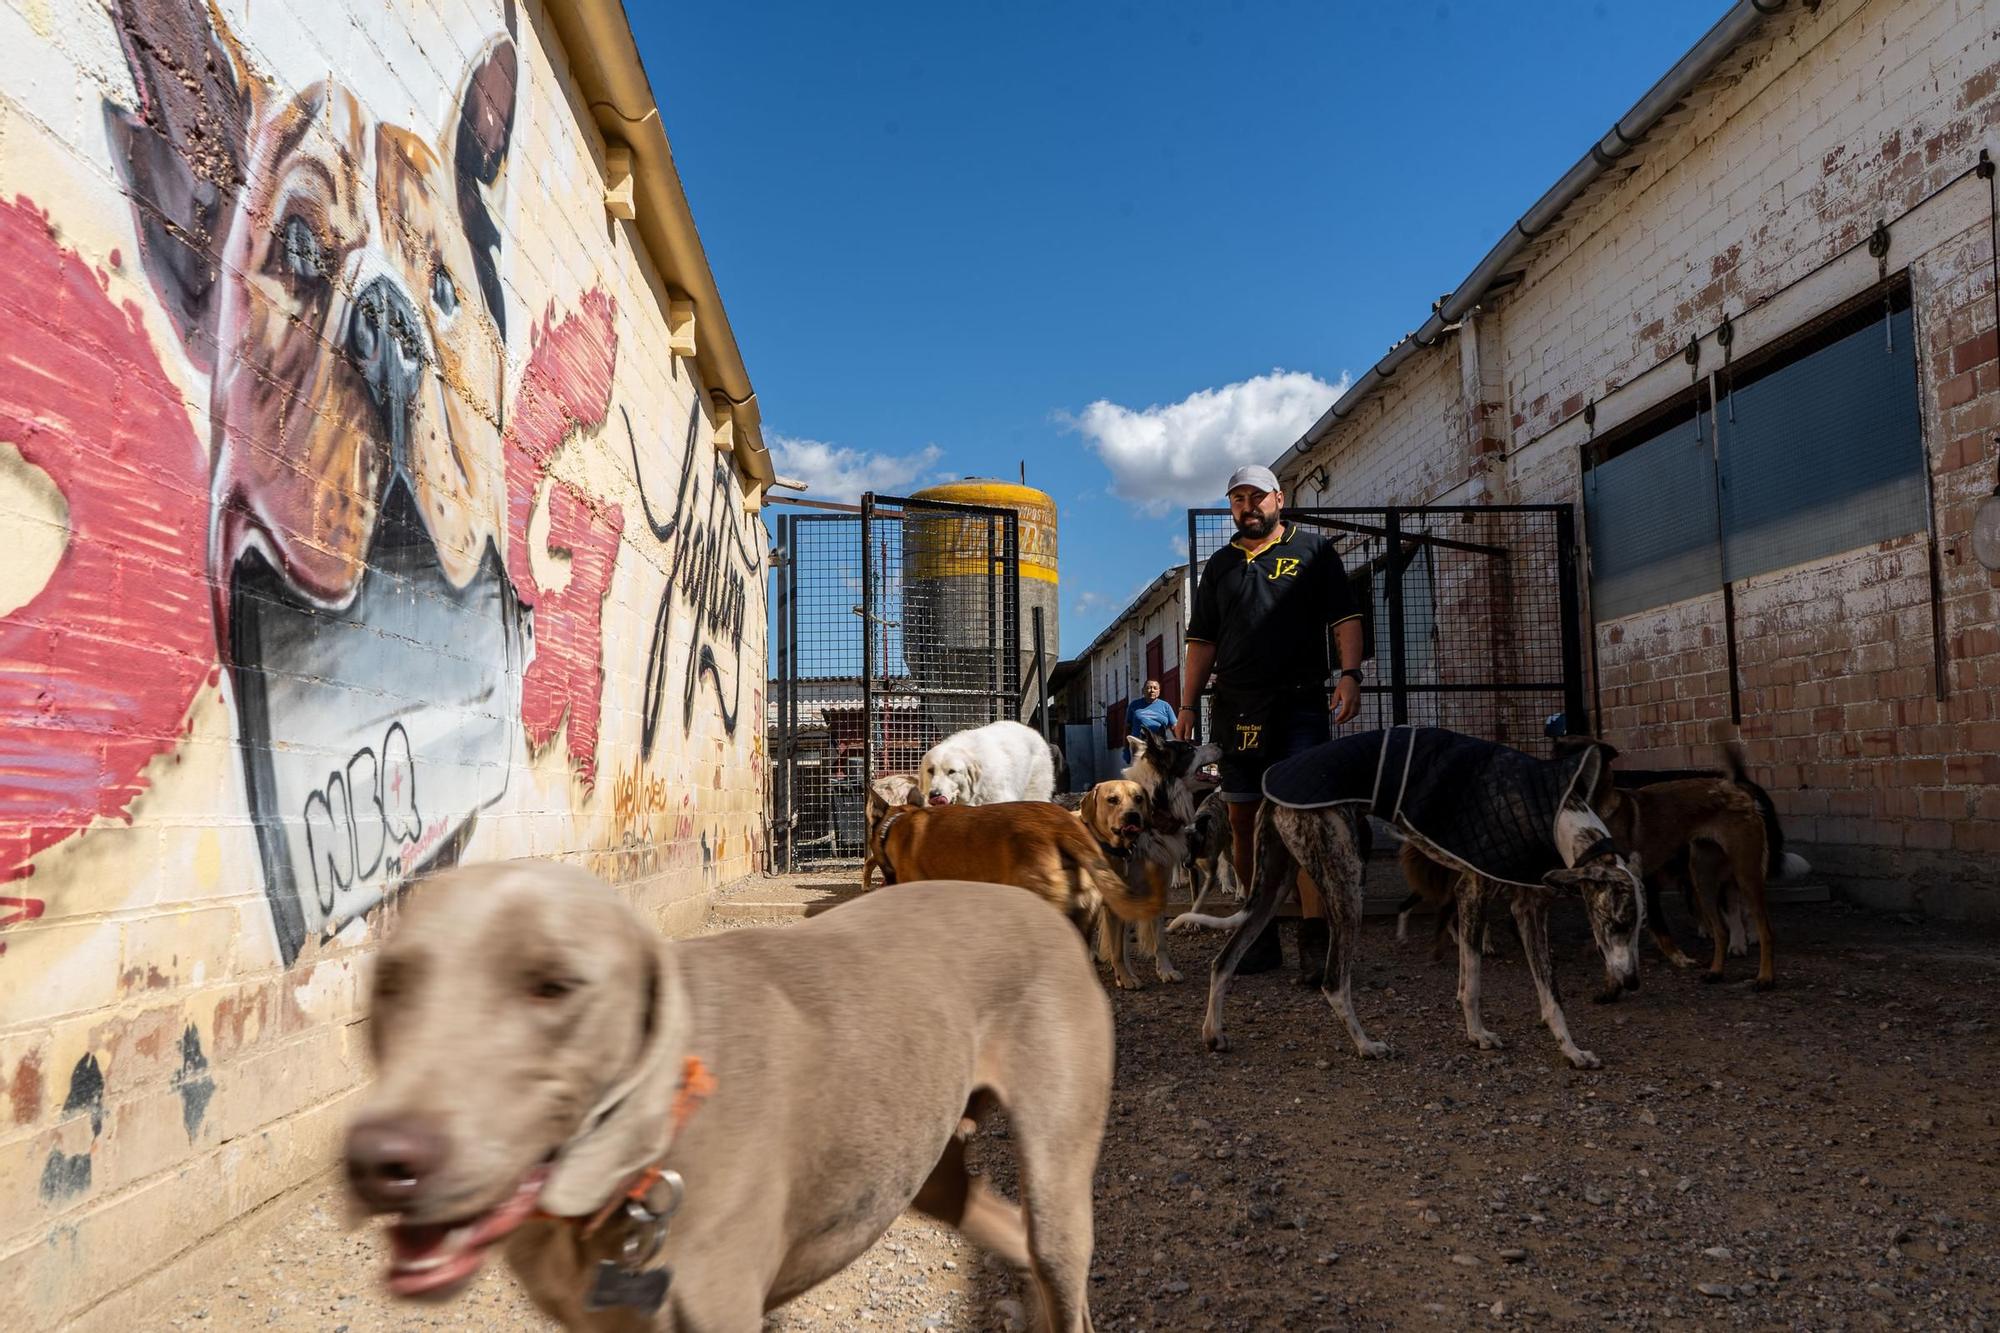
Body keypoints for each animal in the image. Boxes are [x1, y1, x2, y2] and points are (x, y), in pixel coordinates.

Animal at [350, 856, 1120, 1320]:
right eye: (390, 982)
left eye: (555, 985)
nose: (379, 1161)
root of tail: (1041, 908)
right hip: (918, 1161)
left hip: (1055, 1168)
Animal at [1200, 720, 1640, 1064]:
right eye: (1618, 923)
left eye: (1637, 927)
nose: (1633, 982)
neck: (1554, 813)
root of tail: (1271, 786)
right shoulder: (1472, 892)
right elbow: (1473, 981)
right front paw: (1479, 1035)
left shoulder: (1529, 909)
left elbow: (1551, 992)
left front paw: (1572, 1050)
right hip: (1347, 884)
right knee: (1333, 982)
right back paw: (1366, 1045)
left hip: (1272, 889)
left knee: (1223, 960)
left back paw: (1214, 1033)